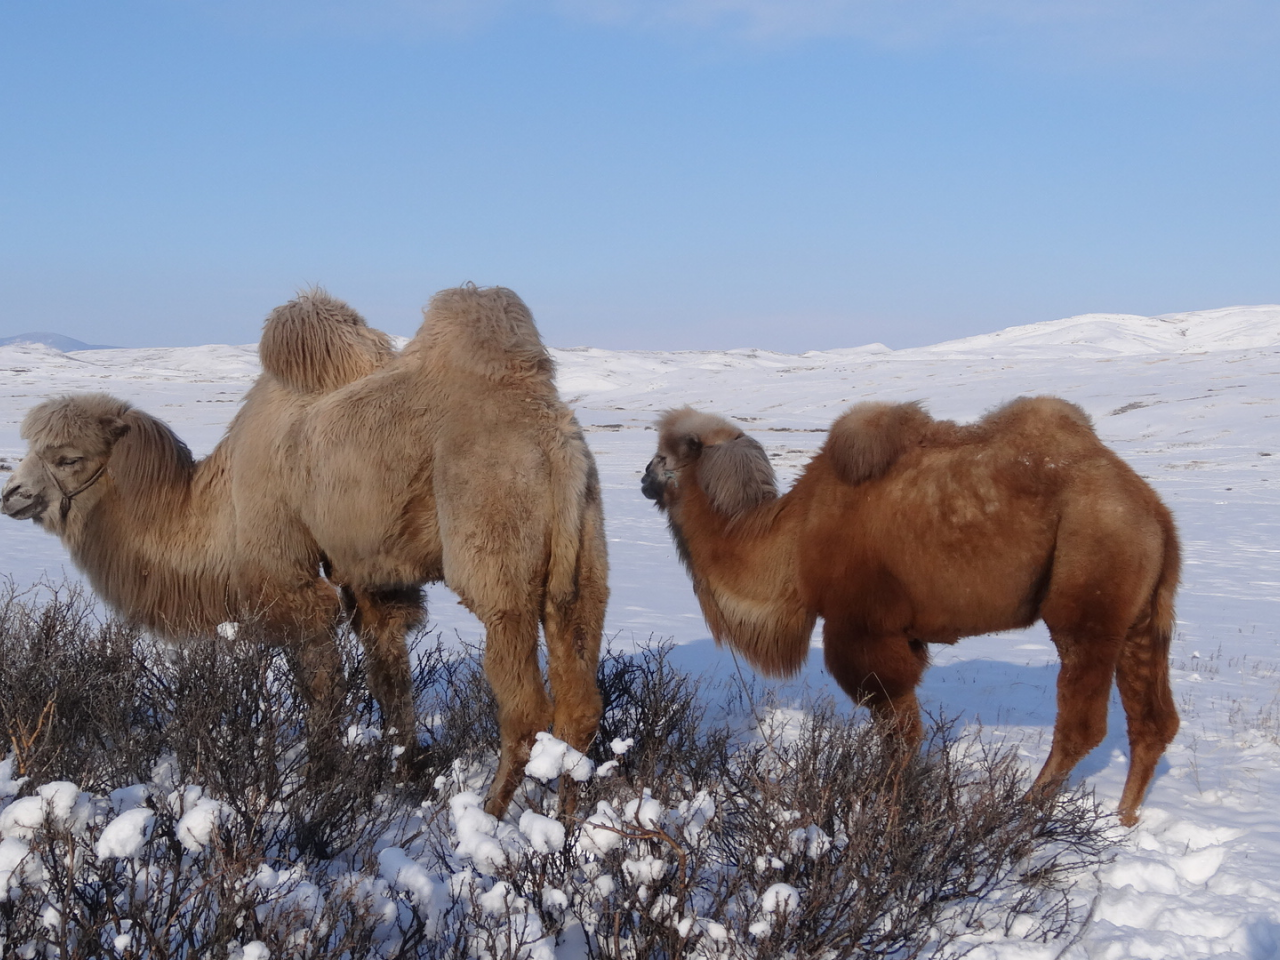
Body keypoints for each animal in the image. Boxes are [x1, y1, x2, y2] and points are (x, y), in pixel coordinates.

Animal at [2, 285, 606, 819]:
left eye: (68, 457)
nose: (12, 493)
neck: (218, 504)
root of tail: (555, 440)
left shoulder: (287, 576)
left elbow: (319, 685)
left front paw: (319, 783)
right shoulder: (369, 577)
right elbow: (389, 677)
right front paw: (402, 777)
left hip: (495, 553)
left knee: (525, 706)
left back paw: (489, 818)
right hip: (581, 561)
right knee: (580, 701)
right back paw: (566, 821)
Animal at [640, 399, 1177, 829]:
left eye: (663, 456)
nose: (643, 479)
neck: (792, 540)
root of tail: (1152, 509)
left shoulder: (862, 629)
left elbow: (899, 734)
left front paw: (886, 804)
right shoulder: (904, 635)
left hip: (1089, 592)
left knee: (1083, 722)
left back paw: (1019, 812)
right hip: (1143, 614)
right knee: (1154, 720)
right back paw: (1124, 820)